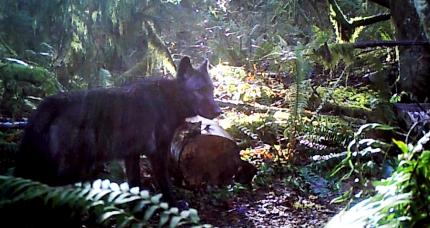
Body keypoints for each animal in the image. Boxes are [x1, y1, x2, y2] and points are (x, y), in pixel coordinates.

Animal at [14, 56, 222, 201]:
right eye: (199, 91)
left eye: (211, 89)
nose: (219, 111)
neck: (167, 100)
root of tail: (48, 103)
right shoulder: (157, 153)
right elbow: (165, 183)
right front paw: (174, 204)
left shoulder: (132, 155)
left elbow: (134, 183)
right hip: (75, 168)